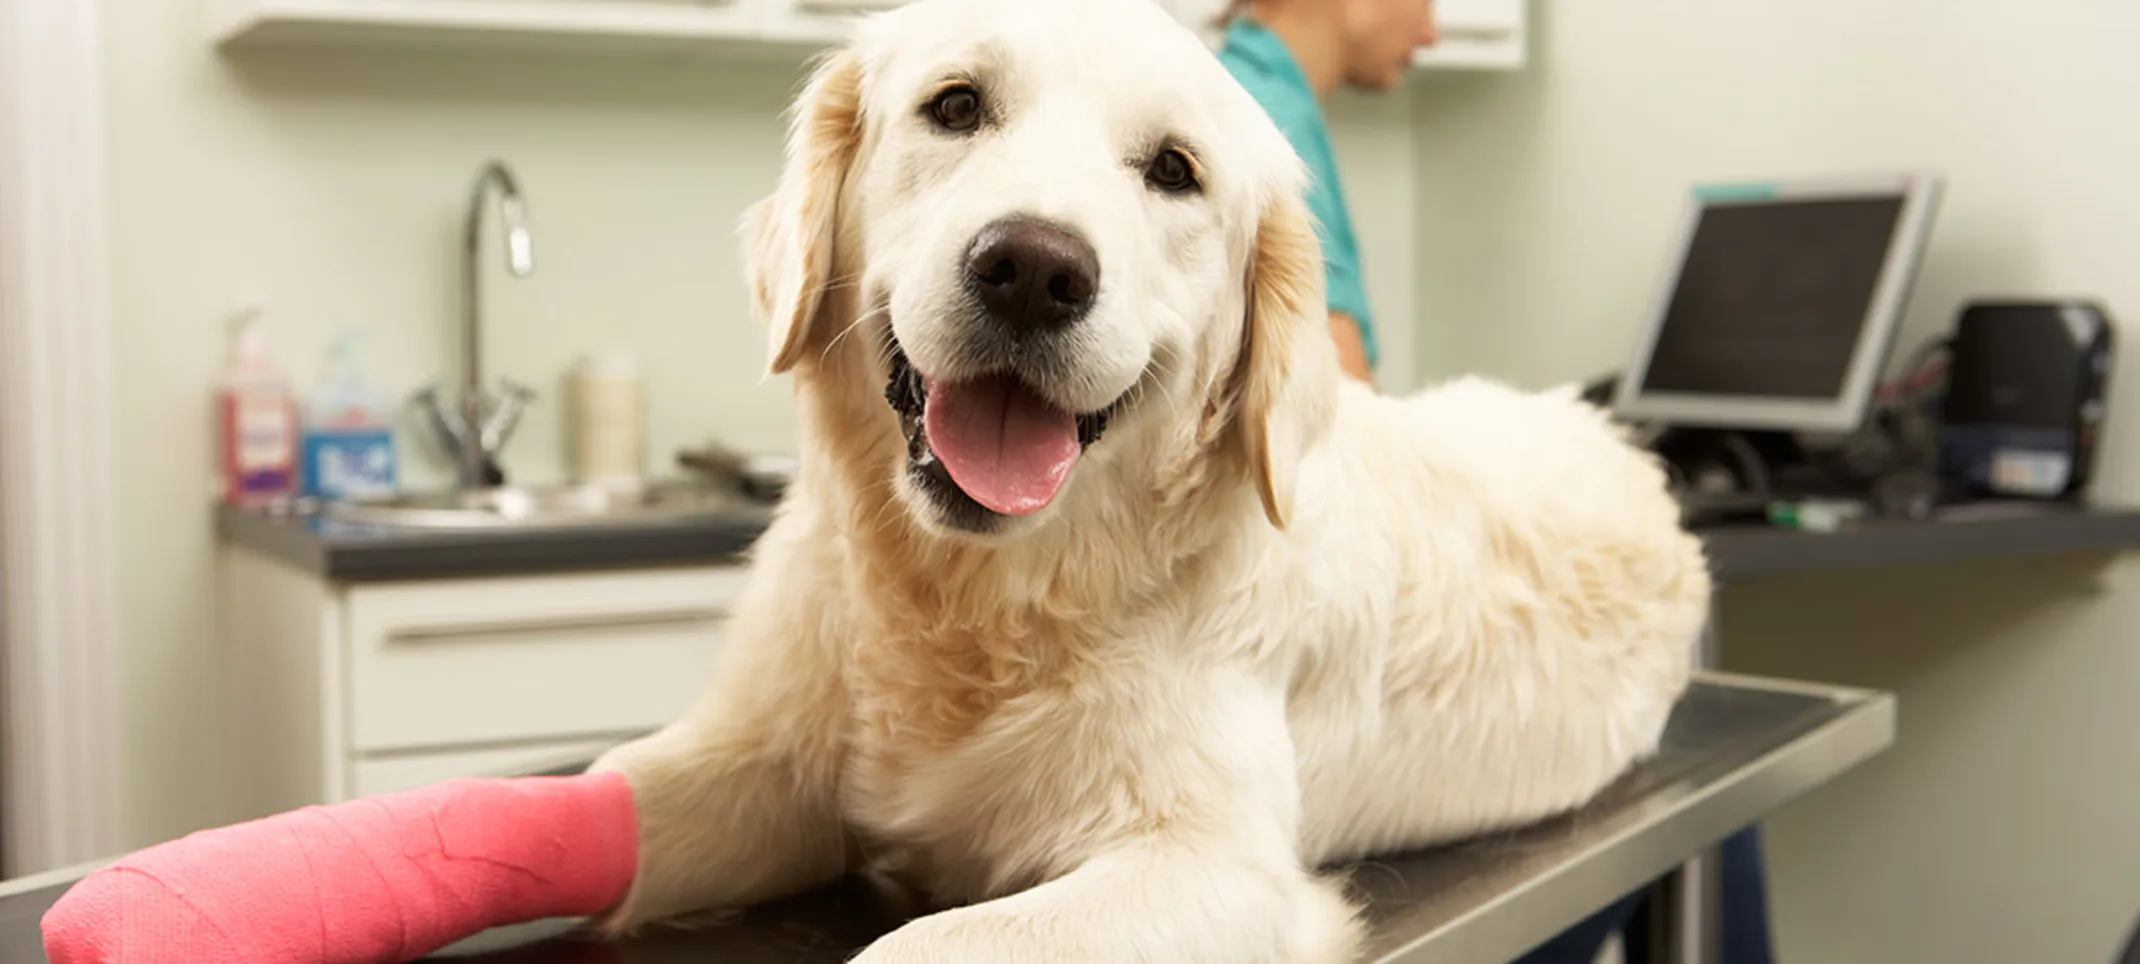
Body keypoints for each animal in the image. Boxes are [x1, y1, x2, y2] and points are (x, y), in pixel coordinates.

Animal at [582, 0, 1703, 955]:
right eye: (956, 105)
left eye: (1173, 170)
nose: (1034, 270)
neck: (980, 601)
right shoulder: (764, 763)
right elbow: (611, 789)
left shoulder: (1218, 867)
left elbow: (930, 943)